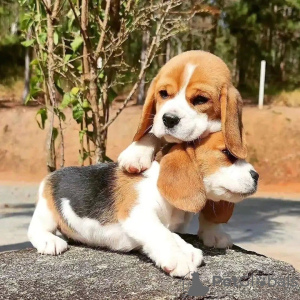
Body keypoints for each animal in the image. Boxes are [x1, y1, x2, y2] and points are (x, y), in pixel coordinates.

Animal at [28, 132, 258, 278]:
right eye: (228, 154)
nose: (257, 176)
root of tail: (52, 175)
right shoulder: (137, 214)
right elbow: (162, 234)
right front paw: (177, 257)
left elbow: (170, 234)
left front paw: (186, 250)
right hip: (46, 210)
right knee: (34, 230)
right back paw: (49, 241)